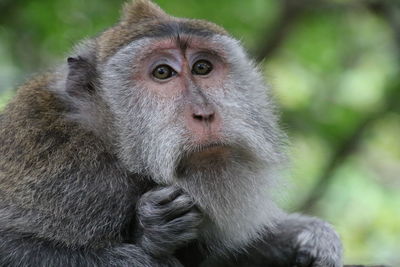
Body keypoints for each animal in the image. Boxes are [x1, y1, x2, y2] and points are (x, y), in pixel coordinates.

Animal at [0, 0, 344, 267]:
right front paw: (150, 235)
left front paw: (310, 236)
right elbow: (14, 248)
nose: (204, 113)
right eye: (162, 72)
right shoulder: (74, 181)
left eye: (203, 67)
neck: (110, 140)